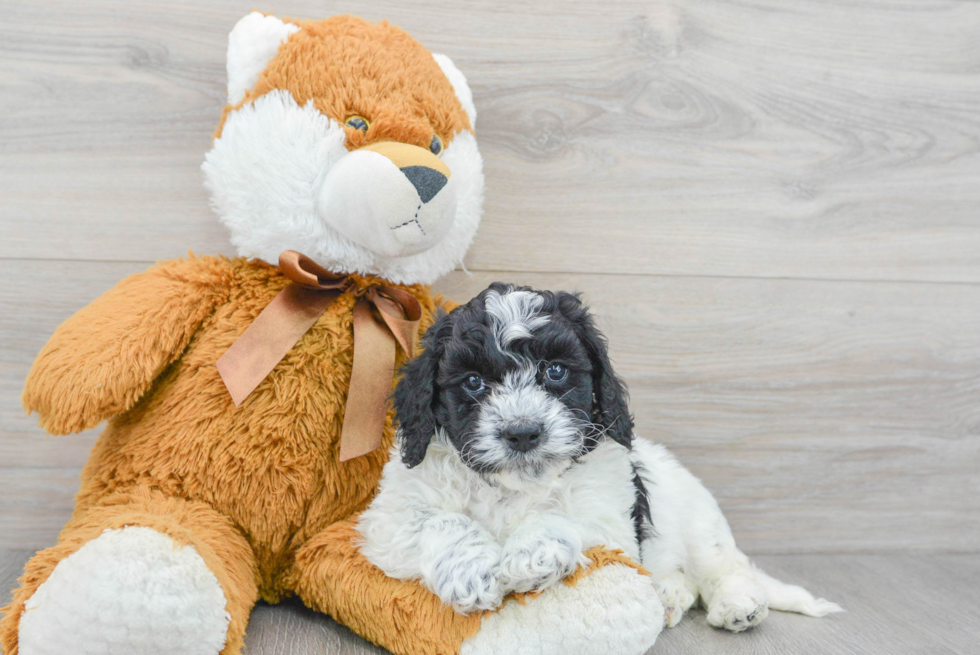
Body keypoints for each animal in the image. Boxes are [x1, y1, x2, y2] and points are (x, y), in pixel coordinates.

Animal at [356, 284, 840, 632]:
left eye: (555, 371)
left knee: (726, 568)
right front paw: (471, 573)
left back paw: (739, 605)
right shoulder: (390, 518)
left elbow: (568, 518)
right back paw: (667, 598)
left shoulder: (610, 518)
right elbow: (441, 521)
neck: (514, 488)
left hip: (701, 525)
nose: (523, 432)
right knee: (684, 579)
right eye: (473, 381)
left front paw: (531, 554)